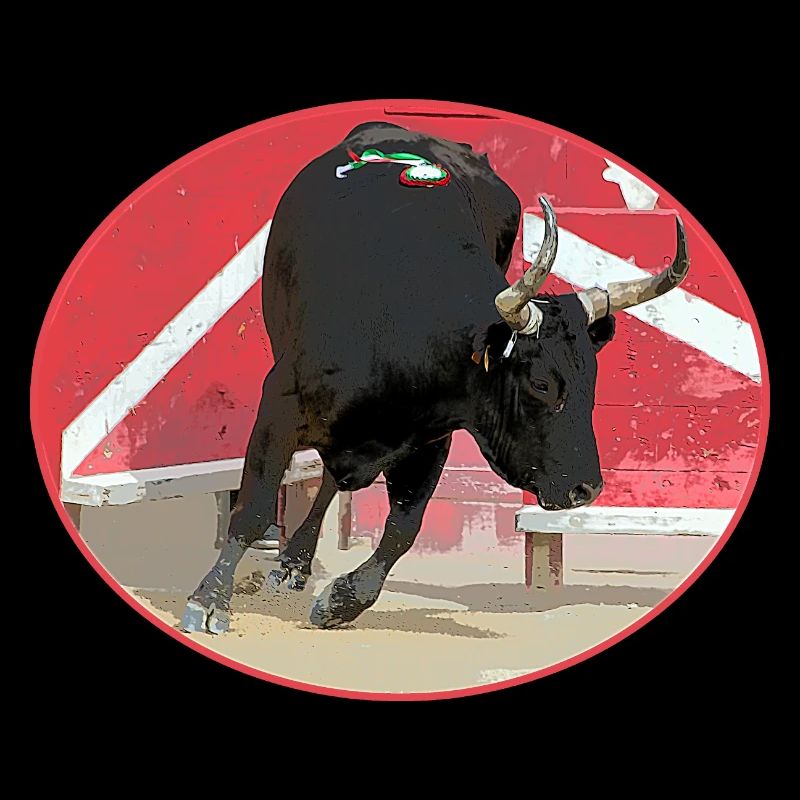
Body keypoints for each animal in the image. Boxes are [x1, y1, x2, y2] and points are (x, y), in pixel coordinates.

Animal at [181, 121, 689, 635]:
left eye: (592, 381)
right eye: (542, 384)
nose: (586, 489)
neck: (401, 328)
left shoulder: (432, 437)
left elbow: (403, 529)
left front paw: (340, 601)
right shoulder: (279, 407)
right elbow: (253, 506)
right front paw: (210, 601)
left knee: (333, 481)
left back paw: (298, 561)